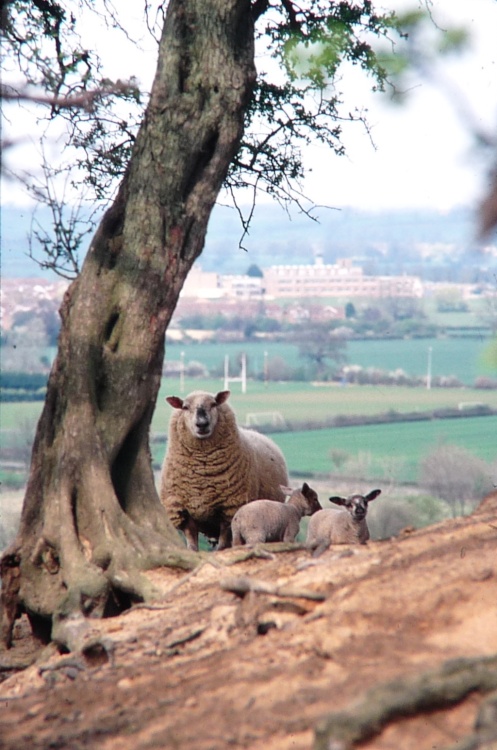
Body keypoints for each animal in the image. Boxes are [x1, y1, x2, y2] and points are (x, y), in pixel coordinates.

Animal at [160, 389, 289, 551]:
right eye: (185, 407)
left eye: (214, 404)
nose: (202, 424)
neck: (201, 474)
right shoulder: (183, 512)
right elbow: (192, 546)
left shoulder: (229, 510)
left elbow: (222, 545)